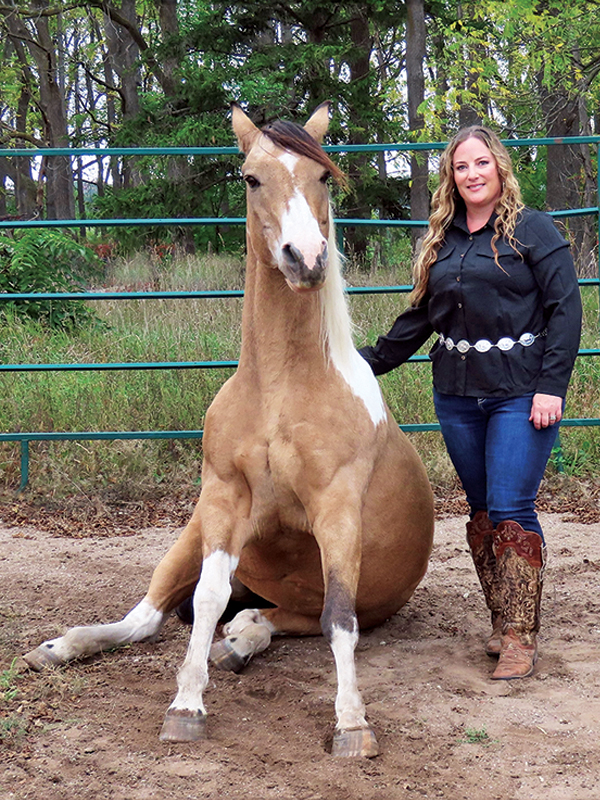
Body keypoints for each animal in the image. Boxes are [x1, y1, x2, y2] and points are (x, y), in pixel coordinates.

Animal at [23, 102, 434, 758]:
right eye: (251, 178)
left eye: (323, 176)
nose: (305, 258)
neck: (280, 391)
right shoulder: (223, 497)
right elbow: (207, 598)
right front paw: (186, 705)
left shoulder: (338, 510)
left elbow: (339, 618)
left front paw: (351, 723)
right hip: (192, 530)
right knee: (148, 618)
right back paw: (64, 646)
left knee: (283, 619)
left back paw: (242, 640)